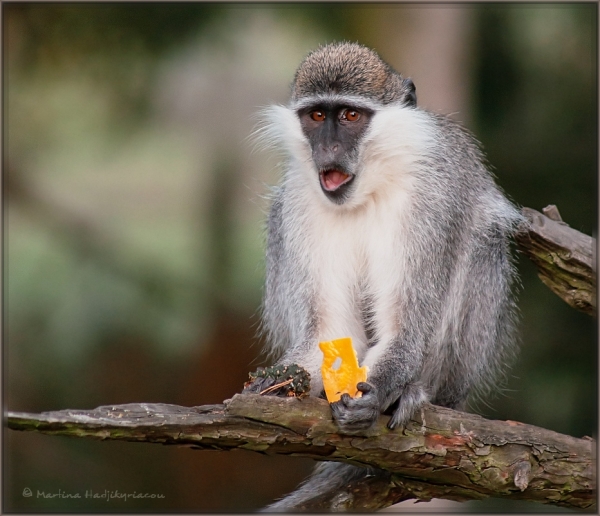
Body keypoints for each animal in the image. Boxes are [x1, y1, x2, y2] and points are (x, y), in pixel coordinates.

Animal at [244, 42, 520, 510]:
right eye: (316, 116)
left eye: (350, 115)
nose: (328, 148)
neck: (369, 187)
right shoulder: (300, 200)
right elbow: (331, 333)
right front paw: (279, 381)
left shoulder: (432, 196)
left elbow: (405, 327)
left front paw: (380, 390)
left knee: (481, 240)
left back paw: (413, 393)